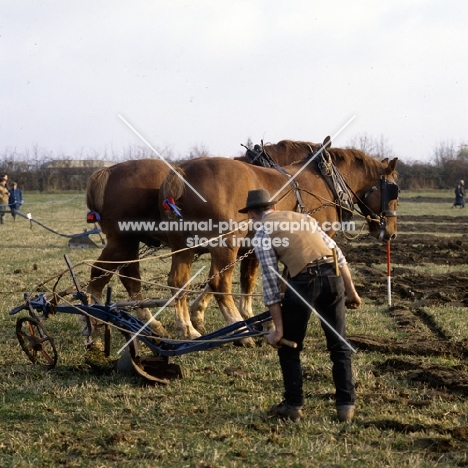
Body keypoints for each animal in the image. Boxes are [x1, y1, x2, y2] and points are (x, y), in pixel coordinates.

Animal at [160, 140, 398, 340]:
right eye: (394, 192)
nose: (391, 232)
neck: (327, 181)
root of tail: (182, 172)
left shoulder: (254, 248)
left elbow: (250, 281)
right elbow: (283, 283)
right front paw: (272, 323)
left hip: (182, 245)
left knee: (178, 282)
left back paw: (187, 328)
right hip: (225, 244)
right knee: (219, 282)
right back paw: (239, 331)